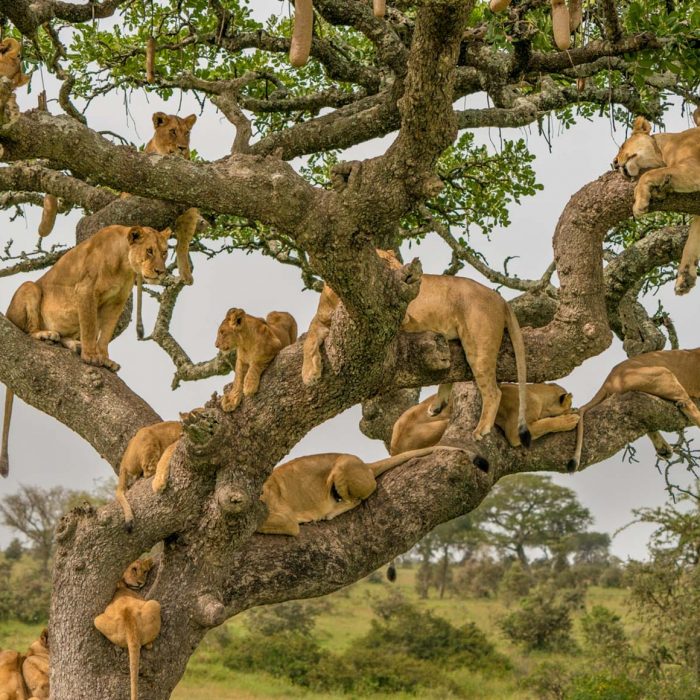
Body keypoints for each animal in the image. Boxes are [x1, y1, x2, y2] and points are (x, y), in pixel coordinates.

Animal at [392, 382, 576, 454]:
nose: (572, 407)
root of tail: (394, 450)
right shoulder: (514, 432)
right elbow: (546, 424)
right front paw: (570, 419)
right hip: (444, 424)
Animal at [612, 111, 700, 296]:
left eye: (622, 146)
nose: (614, 164)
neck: (662, 150)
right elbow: (692, 239)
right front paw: (685, 277)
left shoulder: (694, 167)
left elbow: (649, 174)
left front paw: (639, 202)